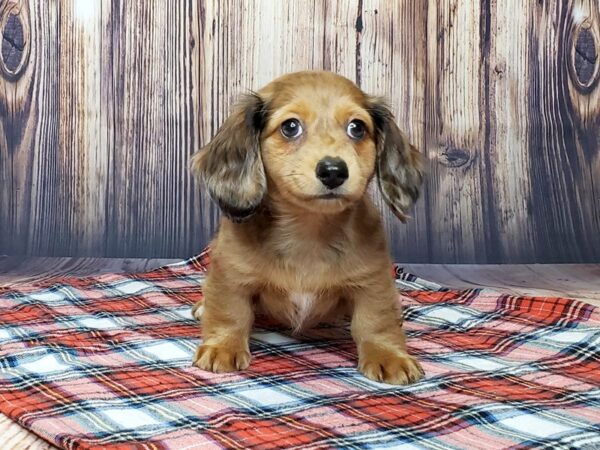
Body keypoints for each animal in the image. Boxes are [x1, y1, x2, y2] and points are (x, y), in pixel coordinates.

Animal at [190, 70, 424, 384]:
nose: (334, 171)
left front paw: (389, 356)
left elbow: (376, 321)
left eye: (357, 128)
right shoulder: (231, 274)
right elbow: (230, 311)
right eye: (290, 127)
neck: (308, 230)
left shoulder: (373, 282)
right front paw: (222, 347)